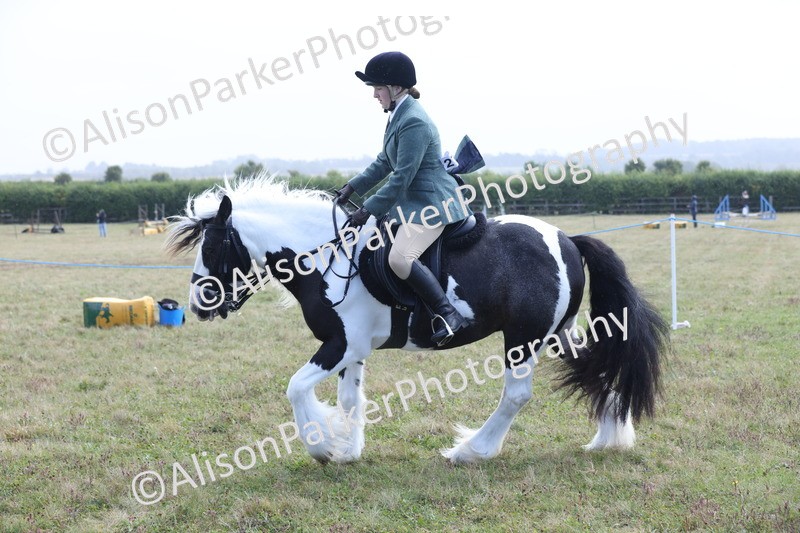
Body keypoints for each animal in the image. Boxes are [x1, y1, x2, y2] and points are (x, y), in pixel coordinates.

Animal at [167, 176, 669, 464]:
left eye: (213, 245)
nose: (199, 304)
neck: (326, 256)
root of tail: (566, 238)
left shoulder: (340, 345)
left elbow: (295, 389)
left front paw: (322, 446)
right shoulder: (353, 351)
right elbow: (349, 399)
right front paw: (348, 450)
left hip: (523, 338)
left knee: (517, 395)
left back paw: (472, 451)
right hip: (556, 333)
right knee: (597, 367)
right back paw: (611, 438)